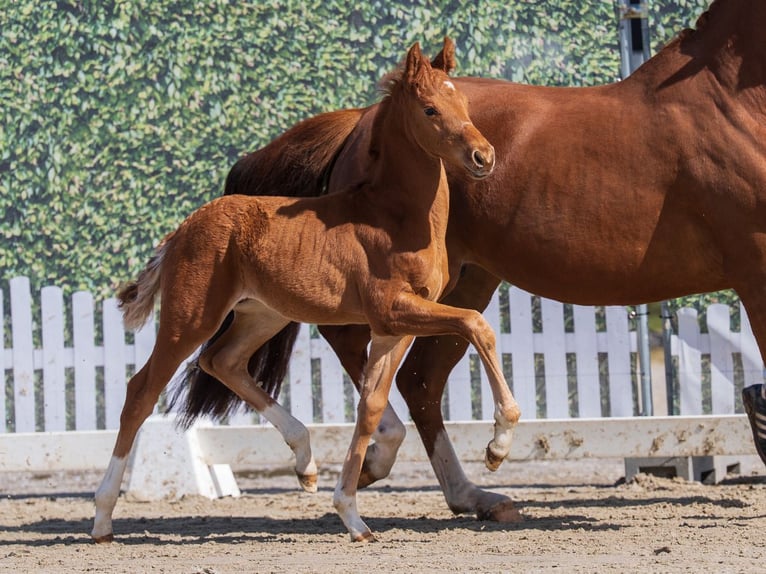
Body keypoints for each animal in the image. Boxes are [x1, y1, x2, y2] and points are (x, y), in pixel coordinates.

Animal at [91, 38, 516, 543]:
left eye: (465, 104)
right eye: (430, 108)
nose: (484, 157)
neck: (395, 216)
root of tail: (181, 229)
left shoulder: (394, 326)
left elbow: (371, 407)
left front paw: (353, 517)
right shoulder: (392, 310)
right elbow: (476, 324)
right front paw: (498, 445)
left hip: (263, 314)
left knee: (222, 361)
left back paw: (306, 464)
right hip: (191, 316)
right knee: (141, 391)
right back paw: (101, 519)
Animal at [182, 0, 766, 523]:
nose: (484, 157)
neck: (731, 105)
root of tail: (361, 122)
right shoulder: (755, 270)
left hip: (465, 281)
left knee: (419, 380)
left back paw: (470, 494)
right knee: (355, 343)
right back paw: (383, 457)